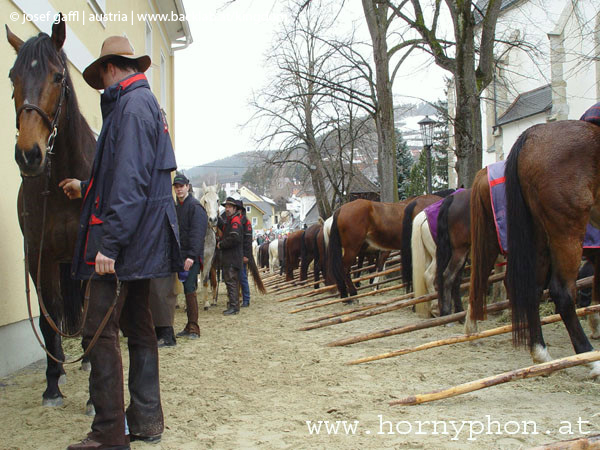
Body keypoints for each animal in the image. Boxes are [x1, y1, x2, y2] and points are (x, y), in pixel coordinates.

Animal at [504, 121, 600, 374]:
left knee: (535, 288)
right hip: (566, 232)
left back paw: (541, 353)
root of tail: (531, 135)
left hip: (539, 233)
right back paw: (590, 357)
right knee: (562, 292)